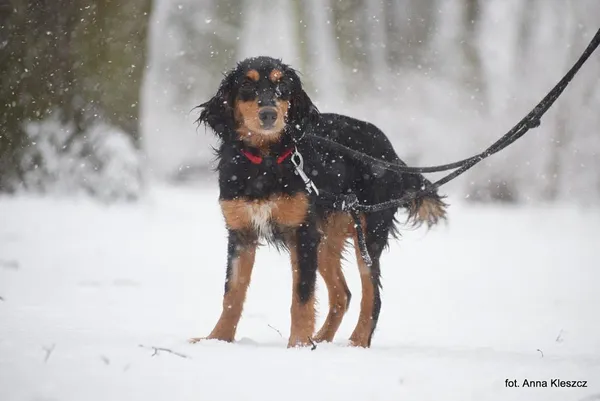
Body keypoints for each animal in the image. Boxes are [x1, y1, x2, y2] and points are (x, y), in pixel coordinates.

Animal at [190, 55, 448, 346]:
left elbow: (302, 296)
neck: (266, 160)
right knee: (342, 293)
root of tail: (390, 154)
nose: (268, 114)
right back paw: (322, 340)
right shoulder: (241, 232)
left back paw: (357, 343)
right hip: (326, 236)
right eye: (246, 83)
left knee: (372, 295)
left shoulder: (302, 232)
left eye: (283, 85)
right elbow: (232, 294)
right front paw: (216, 339)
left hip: (368, 234)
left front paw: (299, 345)